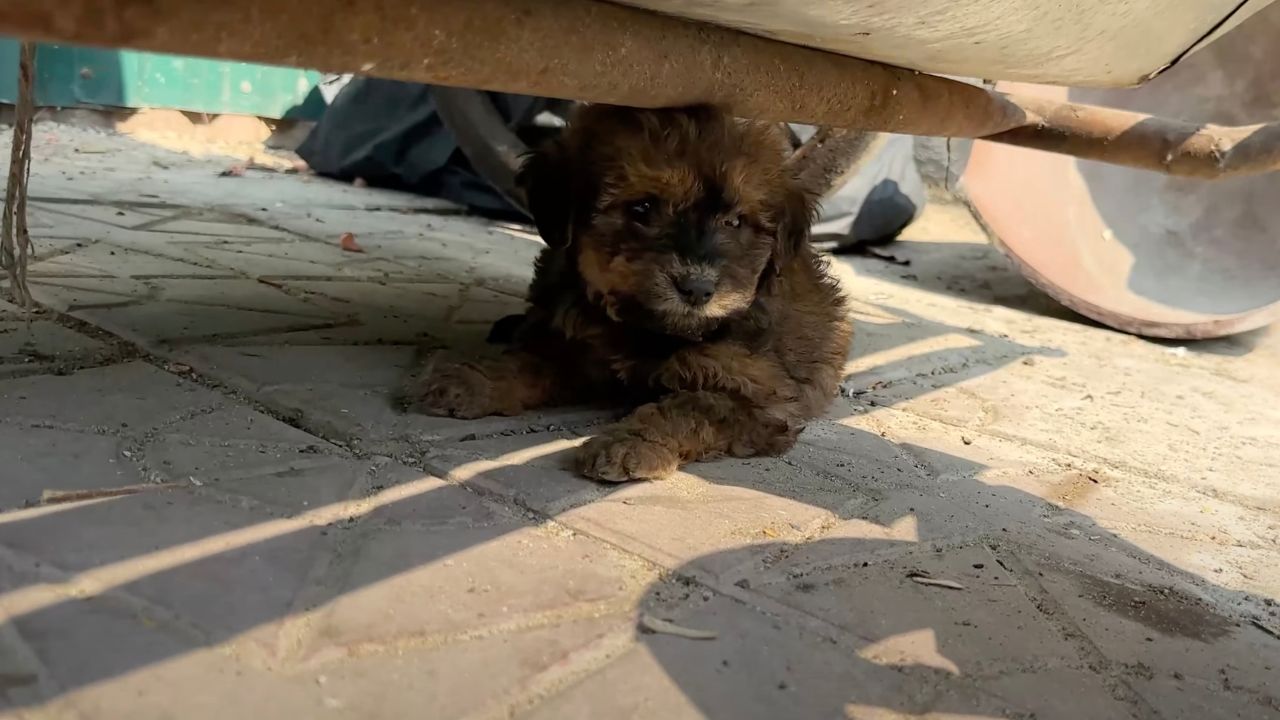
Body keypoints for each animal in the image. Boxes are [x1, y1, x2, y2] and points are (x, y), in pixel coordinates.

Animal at [399, 103, 855, 479]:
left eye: (735, 222)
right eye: (643, 208)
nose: (697, 288)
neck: (648, 330)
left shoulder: (757, 395)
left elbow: (689, 409)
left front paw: (628, 444)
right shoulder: (574, 343)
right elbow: (527, 361)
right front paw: (471, 380)